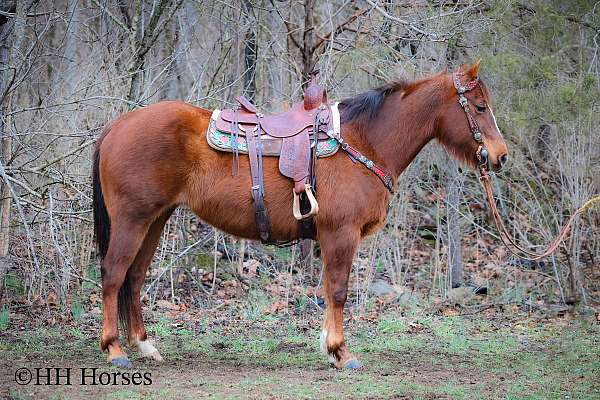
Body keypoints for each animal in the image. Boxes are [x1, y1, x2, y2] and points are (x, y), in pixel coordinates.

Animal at [92, 61, 506, 370]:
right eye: (480, 107)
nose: (500, 156)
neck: (364, 141)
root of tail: (118, 124)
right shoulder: (341, 233)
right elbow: (338, 291)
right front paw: (342, 352)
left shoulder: (330, 236)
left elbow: (327, 291)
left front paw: (329, 347)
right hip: (132, 220)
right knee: (114, 274)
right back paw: (114, 350)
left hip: (154, 220)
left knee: (134, 277)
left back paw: (145, 346)